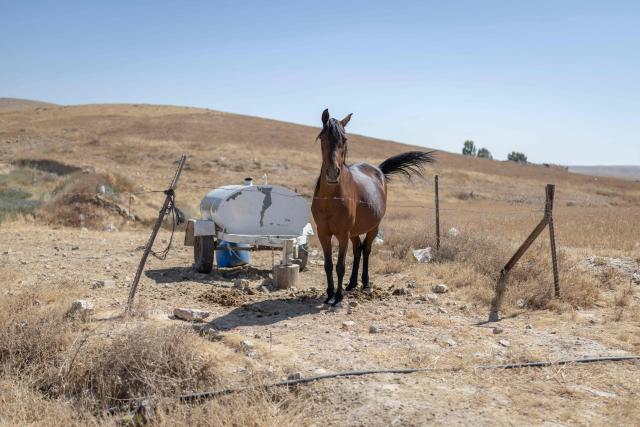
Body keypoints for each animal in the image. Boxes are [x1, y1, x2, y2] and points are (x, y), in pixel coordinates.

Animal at [311, 109, 435, 306]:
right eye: (323, 137)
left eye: (344, 139)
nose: (332, 173)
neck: (331, 197)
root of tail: (379, 171)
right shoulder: (323, 232)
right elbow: (328, 265)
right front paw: (329, 294)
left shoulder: (343, 234)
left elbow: (340, 266)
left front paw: (338, 297)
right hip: (354, 232)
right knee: (358, 249)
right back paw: (352, 284)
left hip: (372, 227)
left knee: (367, 250)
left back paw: (365, 282)